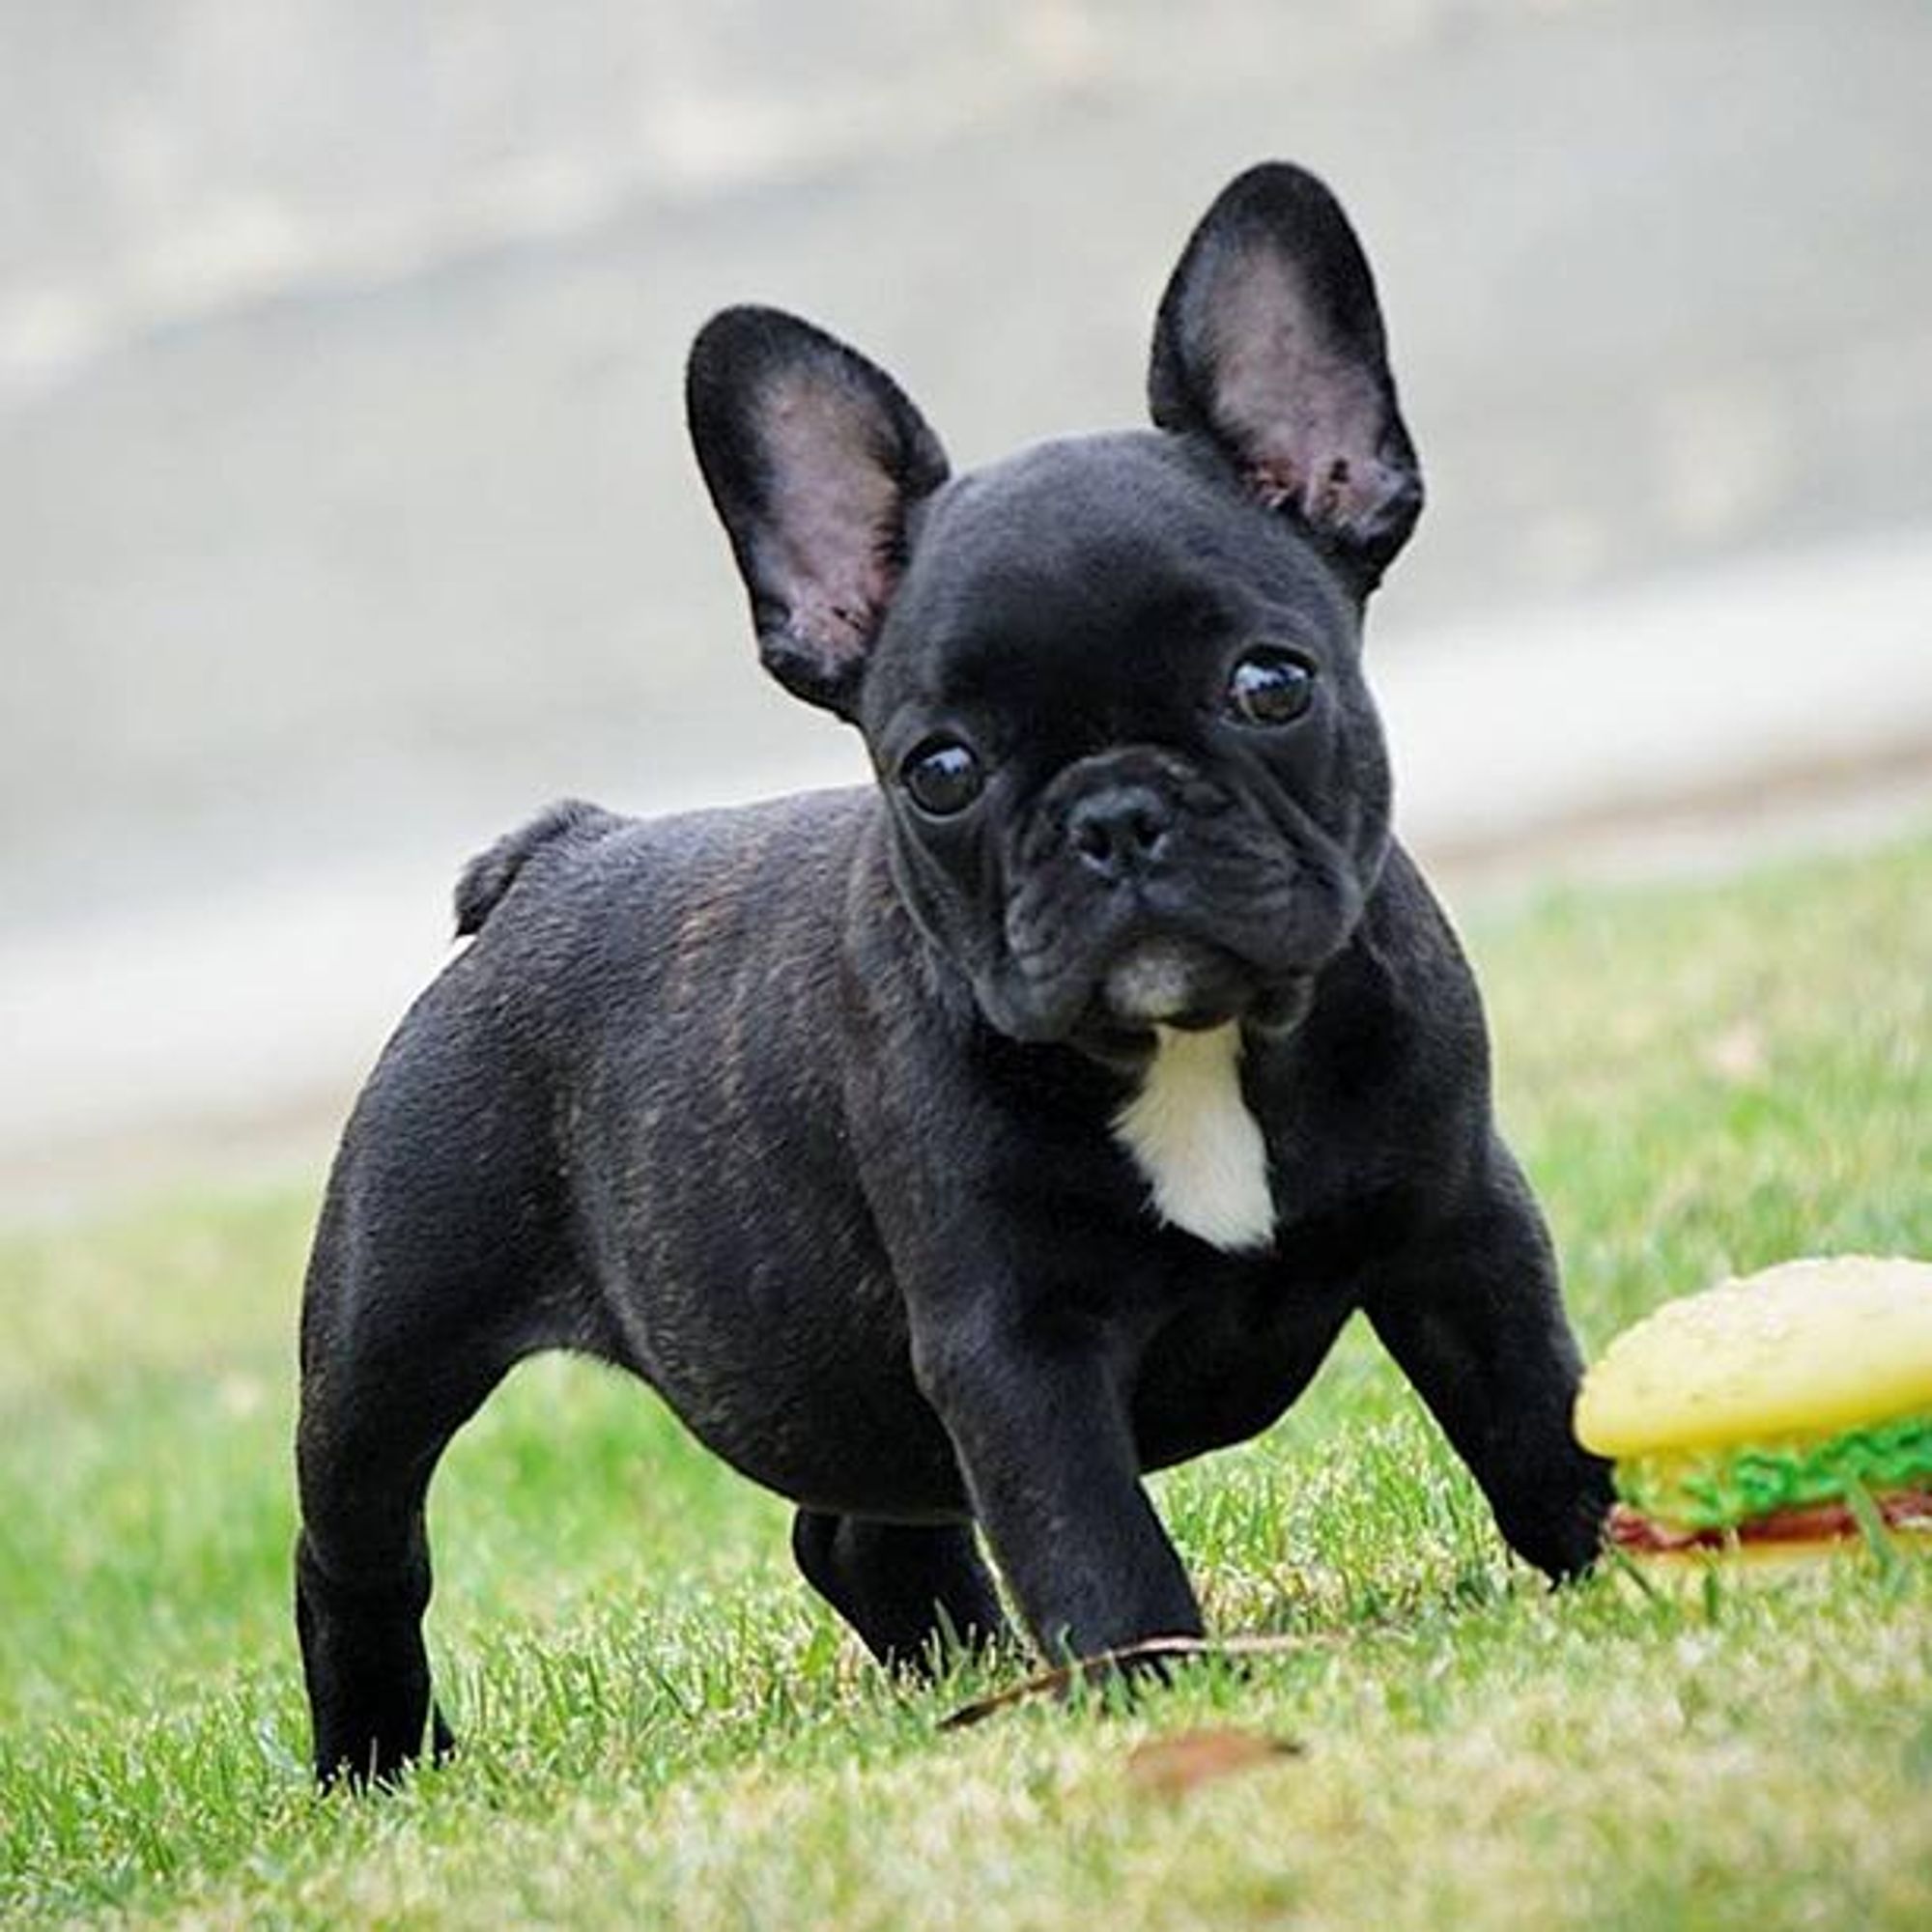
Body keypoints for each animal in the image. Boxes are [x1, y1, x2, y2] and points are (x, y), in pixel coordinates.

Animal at [290, 158, 1615, 1785]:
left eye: (1270, 683)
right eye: (940, 771)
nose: (1116, 818)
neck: (1194, 1050)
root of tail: (559, 853)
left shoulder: (1454, 1219)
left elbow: (1531, 1407)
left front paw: (1630, 1551)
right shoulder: (1009, 1346)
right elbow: (1092, 1536)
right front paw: (1145, 1690)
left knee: (856, 1528)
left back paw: (964, 1666)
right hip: (387, 1340)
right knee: (358, 1547)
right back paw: (378, 1759)